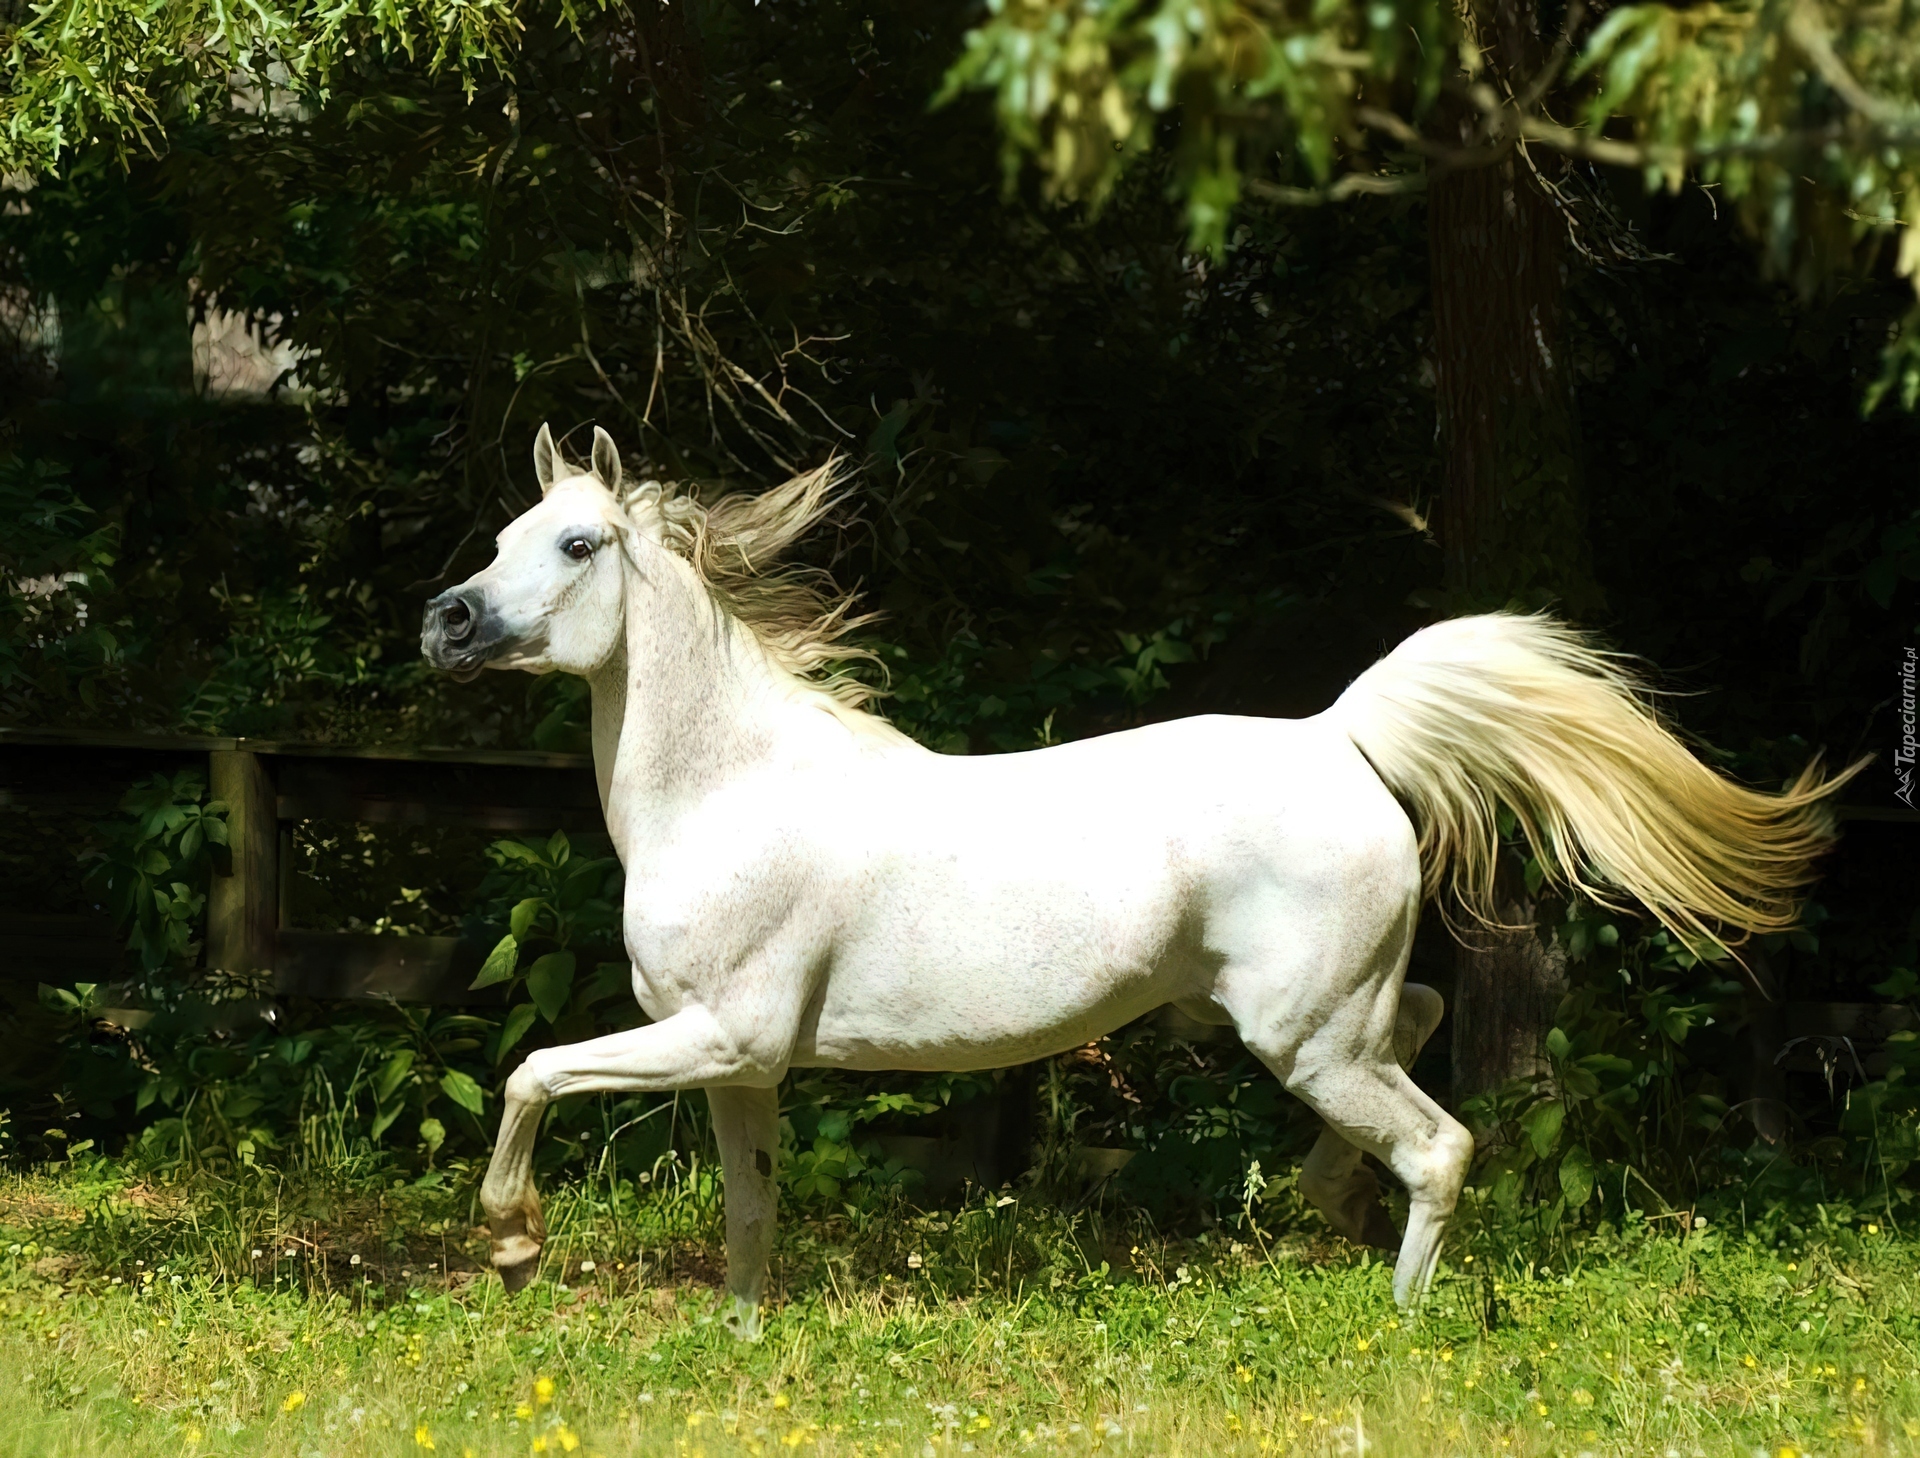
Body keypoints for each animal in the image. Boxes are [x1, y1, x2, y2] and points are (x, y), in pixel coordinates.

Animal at [424, 422, 1858, 1336]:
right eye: (502, 533)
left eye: (577, 544)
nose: (445, 622)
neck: (733, 790)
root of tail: (1339, 734)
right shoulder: (742, 1063)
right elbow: (750, 1215)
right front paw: (739, 1344)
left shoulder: (720, 1033)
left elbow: (532, 1073)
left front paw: (512, 1241)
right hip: (1316, 1020)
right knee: (1424, 1027)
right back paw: (1324, 1198)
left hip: (1305, 1035)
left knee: (1441, 1143)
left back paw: (1397, 1319)